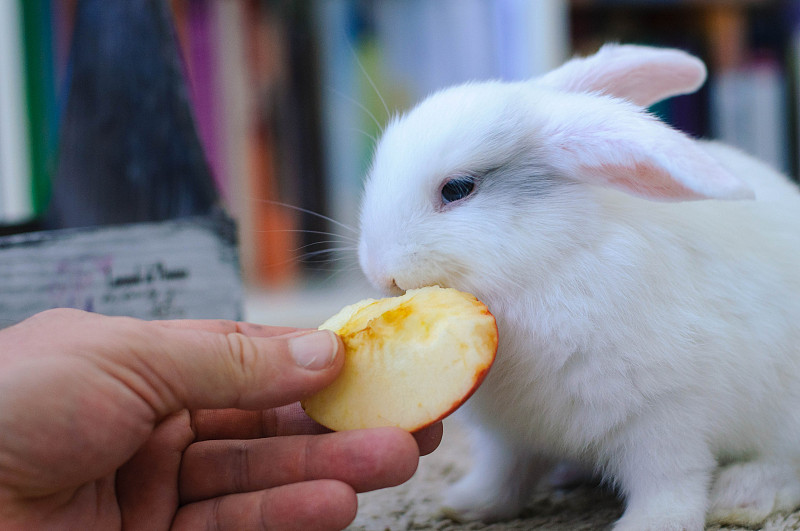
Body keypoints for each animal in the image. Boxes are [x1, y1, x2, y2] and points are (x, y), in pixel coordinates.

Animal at [360, 42, 800, 531]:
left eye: (457, 189)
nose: (377, 269)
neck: (547, 264)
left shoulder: (664, 418)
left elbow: (671, 480)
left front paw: (650, 524)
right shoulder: (510, 435)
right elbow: (503, 474)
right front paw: (466, 504)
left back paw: (741, 497)